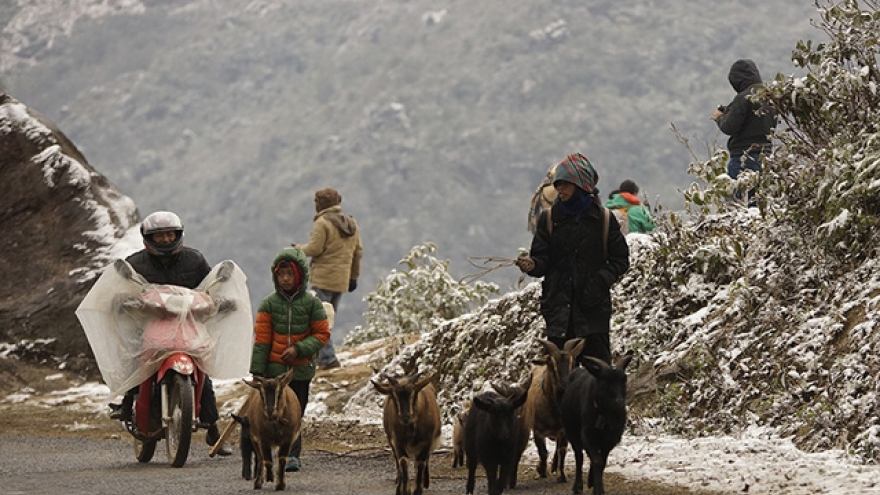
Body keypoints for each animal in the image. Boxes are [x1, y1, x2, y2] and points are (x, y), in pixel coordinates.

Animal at [524, 340, 584, 482]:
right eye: (551, 363)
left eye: (572, 362)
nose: (565, 382)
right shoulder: (537, 431)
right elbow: (543, 452)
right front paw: (541, 470)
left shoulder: (564, 430)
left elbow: (562, 450)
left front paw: (561, 475)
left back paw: (554, 467)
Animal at [564, 350, 632, 494]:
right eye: (605, 380)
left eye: (624, 379)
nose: (619, 403)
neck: (604, 415)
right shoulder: (587, 436)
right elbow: (597, 461)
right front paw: (598, 489)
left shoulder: (610, 439)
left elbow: (602, 461)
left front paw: (595, 484)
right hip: (572, 434)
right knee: (579, 457)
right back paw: (578, 486)